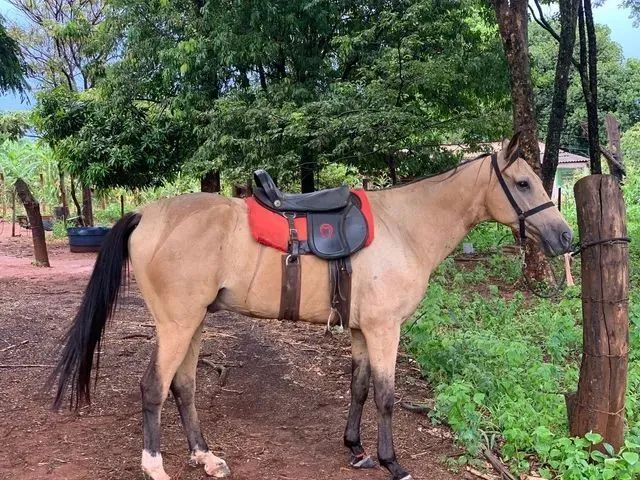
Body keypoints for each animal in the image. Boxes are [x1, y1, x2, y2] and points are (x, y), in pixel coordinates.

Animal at [51, 133, 573, 480]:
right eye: (523, 183)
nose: (565, 237)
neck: (405, 227)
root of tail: (146, 215)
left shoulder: (362, 330)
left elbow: (359, 388)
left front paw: (356, 448)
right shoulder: (385, 328)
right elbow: (385, 395)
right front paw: (393, 462)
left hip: (194, 323)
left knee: (183, 387)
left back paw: (205, 456)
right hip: (176, 324)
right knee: (153, 387)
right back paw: (155, 466)